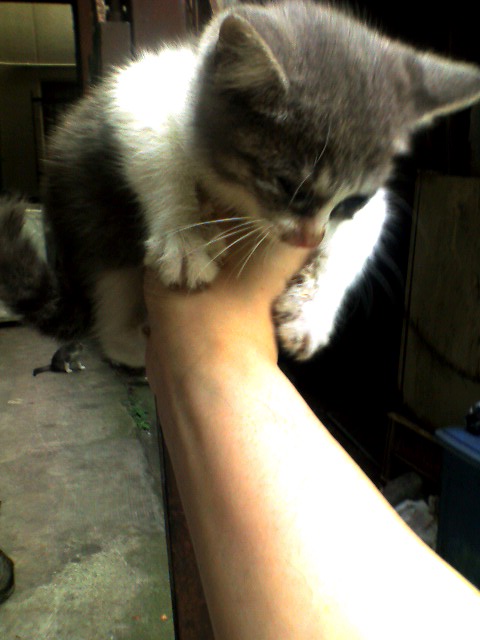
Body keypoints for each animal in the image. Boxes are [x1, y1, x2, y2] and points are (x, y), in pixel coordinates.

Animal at [1, 0, 480, 367]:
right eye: (286, 184)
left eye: (352, 200)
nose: (309, 238)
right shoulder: (139, 87)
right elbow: (155, 145)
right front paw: (184, 237)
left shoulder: (370, 204)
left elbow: (362, 233)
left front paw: (312, 311)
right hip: (92, 218)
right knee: (110, 301)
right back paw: (134, 346)